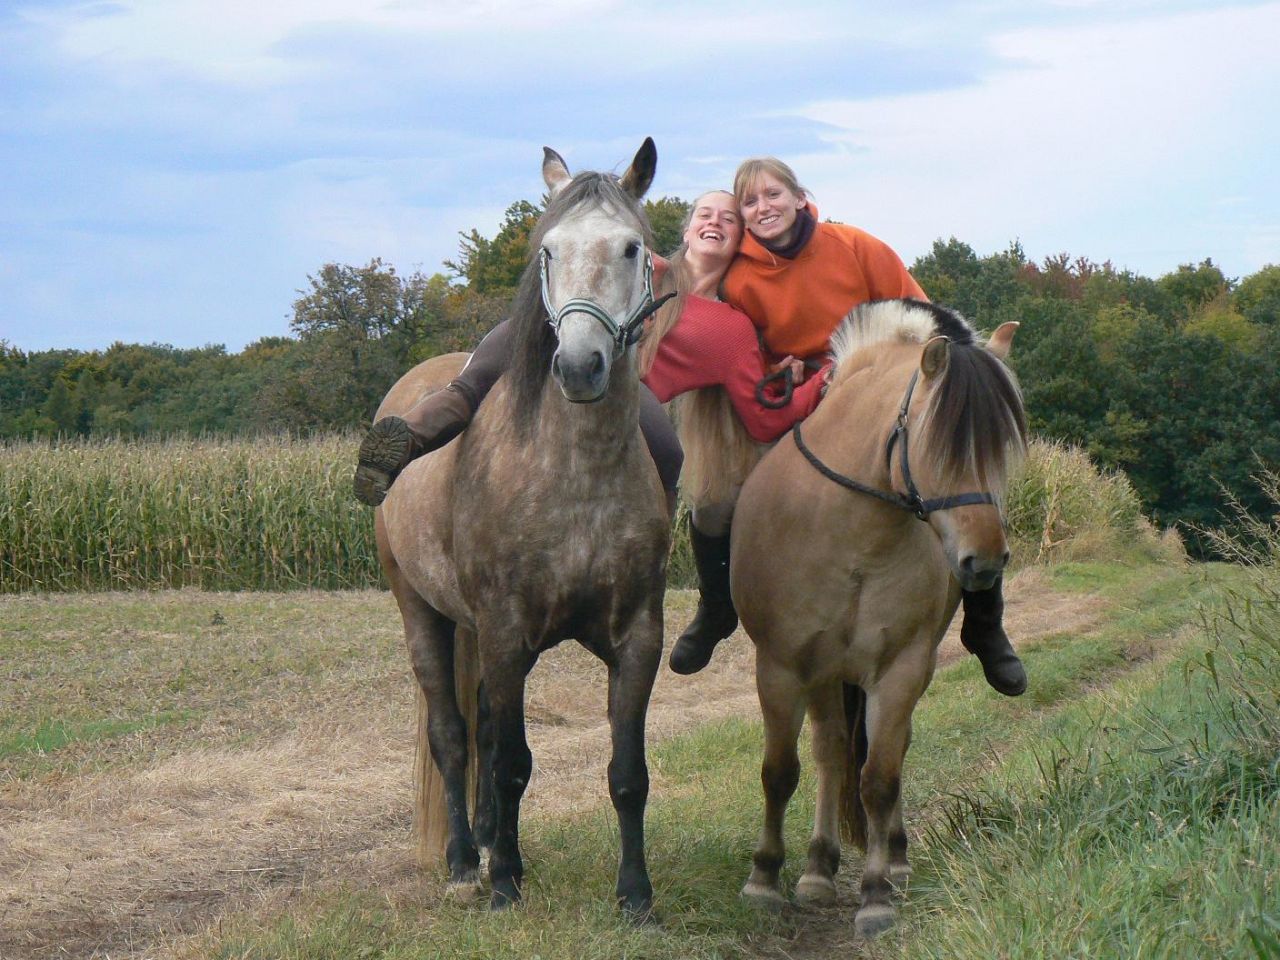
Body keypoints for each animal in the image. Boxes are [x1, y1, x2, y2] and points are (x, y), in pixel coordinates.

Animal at [374, 139, 671, 918]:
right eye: (549, 250)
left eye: (631, 247)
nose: (579, 365)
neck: (576, 476)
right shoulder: (507, 634)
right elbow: (508, 763)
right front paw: (504, 879)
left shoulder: (637, 639)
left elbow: (627, 771)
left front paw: (635, 894)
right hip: (421, 612)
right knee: (452, 736)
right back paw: (462, 858)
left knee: (478, 726)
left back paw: (484, 841)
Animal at [730, 298, 1026, 936]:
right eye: (940, 443)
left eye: (1003, 450)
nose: (985, 562)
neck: (855, 536)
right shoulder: (783, 666)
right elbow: (780, 770)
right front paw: (764, 879)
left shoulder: (900, 669)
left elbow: (880, 777)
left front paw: (876, 894)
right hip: (824, 674)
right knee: (828, 750)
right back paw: (817, 869)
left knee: (877, 756)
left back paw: (894, 858)